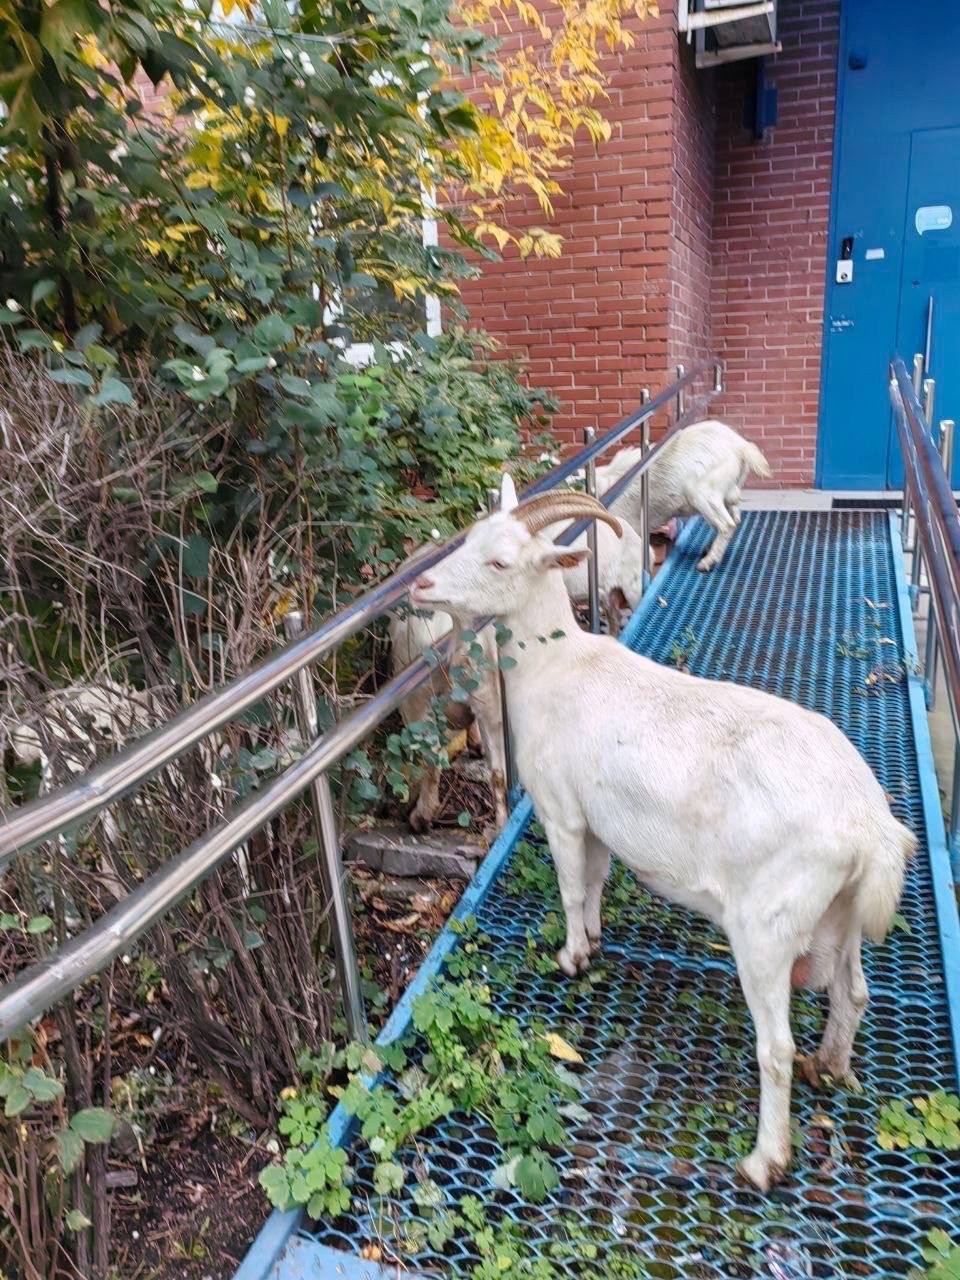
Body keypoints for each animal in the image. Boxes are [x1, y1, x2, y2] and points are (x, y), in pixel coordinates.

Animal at [389, 611, 514, 834]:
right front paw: (476, 744)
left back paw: (421, 817)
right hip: (493, 699)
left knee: (431, 760)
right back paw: (500, 830)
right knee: (499, 773)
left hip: (420, 699)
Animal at [409, 478, 911, 1187]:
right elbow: (595, 882)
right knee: (854, 993)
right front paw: (594, 938)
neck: (556, 666)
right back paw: (830, 1067)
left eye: (501, 561)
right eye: (472, 536)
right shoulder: (596, 820)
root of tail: (872, 827)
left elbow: (570, 887)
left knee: (776, 1046)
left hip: (767, 926)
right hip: (841, 911)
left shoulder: (561, 811)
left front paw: (571, 956)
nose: (421, 586)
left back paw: (764, 1160)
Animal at [601, 419, 773, 570]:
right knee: (735, 517)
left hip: (702, 493)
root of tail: (740, 446)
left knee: (727, 525)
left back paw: (707, 562)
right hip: (729, 491)